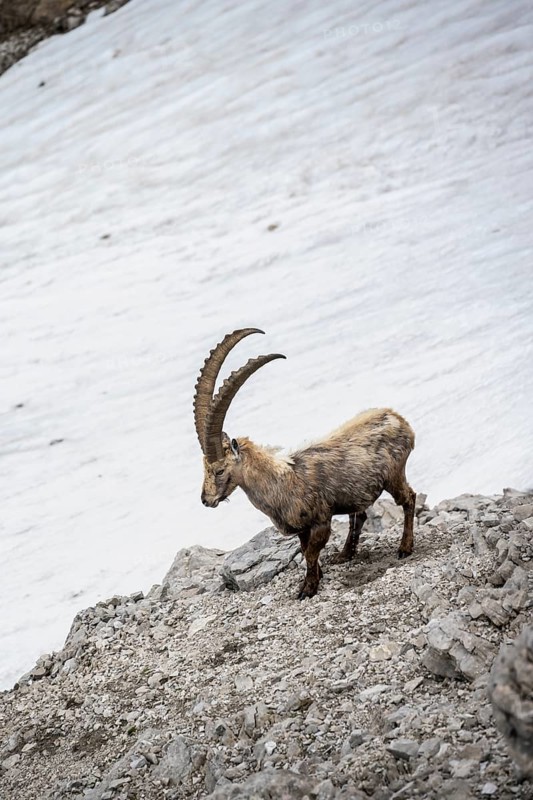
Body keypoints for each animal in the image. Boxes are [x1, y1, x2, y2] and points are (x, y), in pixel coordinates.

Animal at [194, 328, 416, 599]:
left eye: (219, 470)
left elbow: (310, 553)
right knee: (359, 515)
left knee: (409, 498)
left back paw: (405, 548)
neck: (281, 482)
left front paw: (308, 588)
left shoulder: (320, 521)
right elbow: (306, 551)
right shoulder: (301, 529)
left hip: (394, 474)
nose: (206, 500)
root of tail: (399, 419)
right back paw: (345, 554)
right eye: (204, 468)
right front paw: (315, 578)